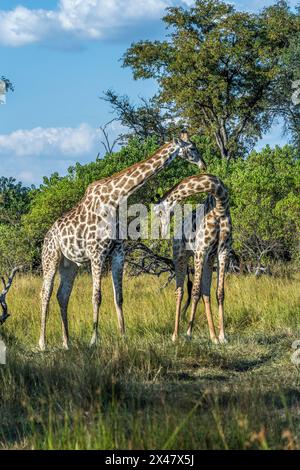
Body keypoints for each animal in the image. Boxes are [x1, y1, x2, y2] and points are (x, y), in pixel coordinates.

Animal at [38, 131, 206, 348]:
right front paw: (94, 339)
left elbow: (119, 296)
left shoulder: (118, 252)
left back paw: (67, 342)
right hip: (50, 259)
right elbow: (97, 297)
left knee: (62, 295)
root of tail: (46, 237)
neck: (115, 199)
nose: (203, 165)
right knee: (45, 294)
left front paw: (123, 335)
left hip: (70, 264)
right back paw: (42, 343)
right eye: (192, 147)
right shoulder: (97, 253)